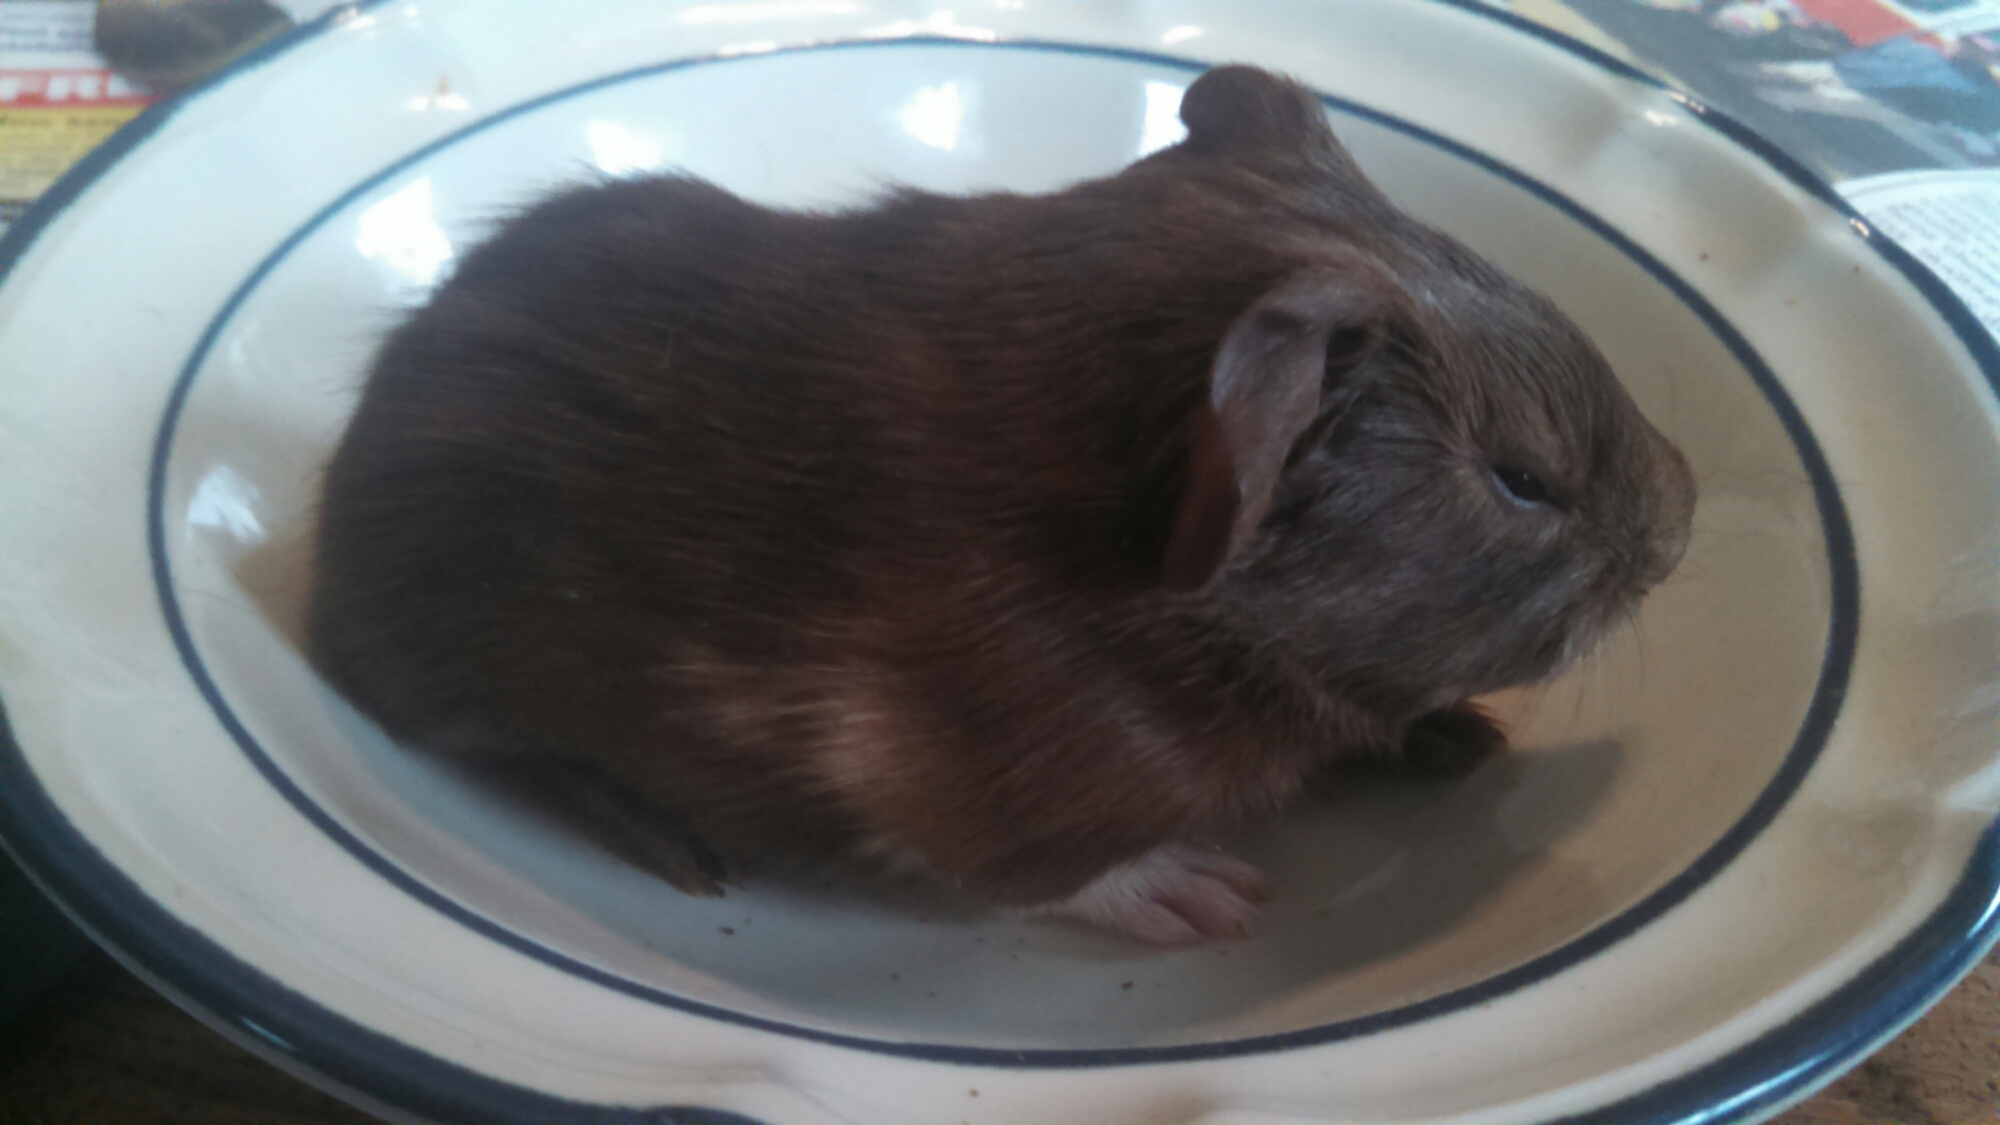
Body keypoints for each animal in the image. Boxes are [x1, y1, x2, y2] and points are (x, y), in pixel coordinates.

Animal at [307, 65, 1696, 945]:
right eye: (1520, 478)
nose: (1680, 523)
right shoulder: (982, 778)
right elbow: (1045, 870)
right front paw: (1208, 902)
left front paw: (1469, 737)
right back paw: (687, 857)